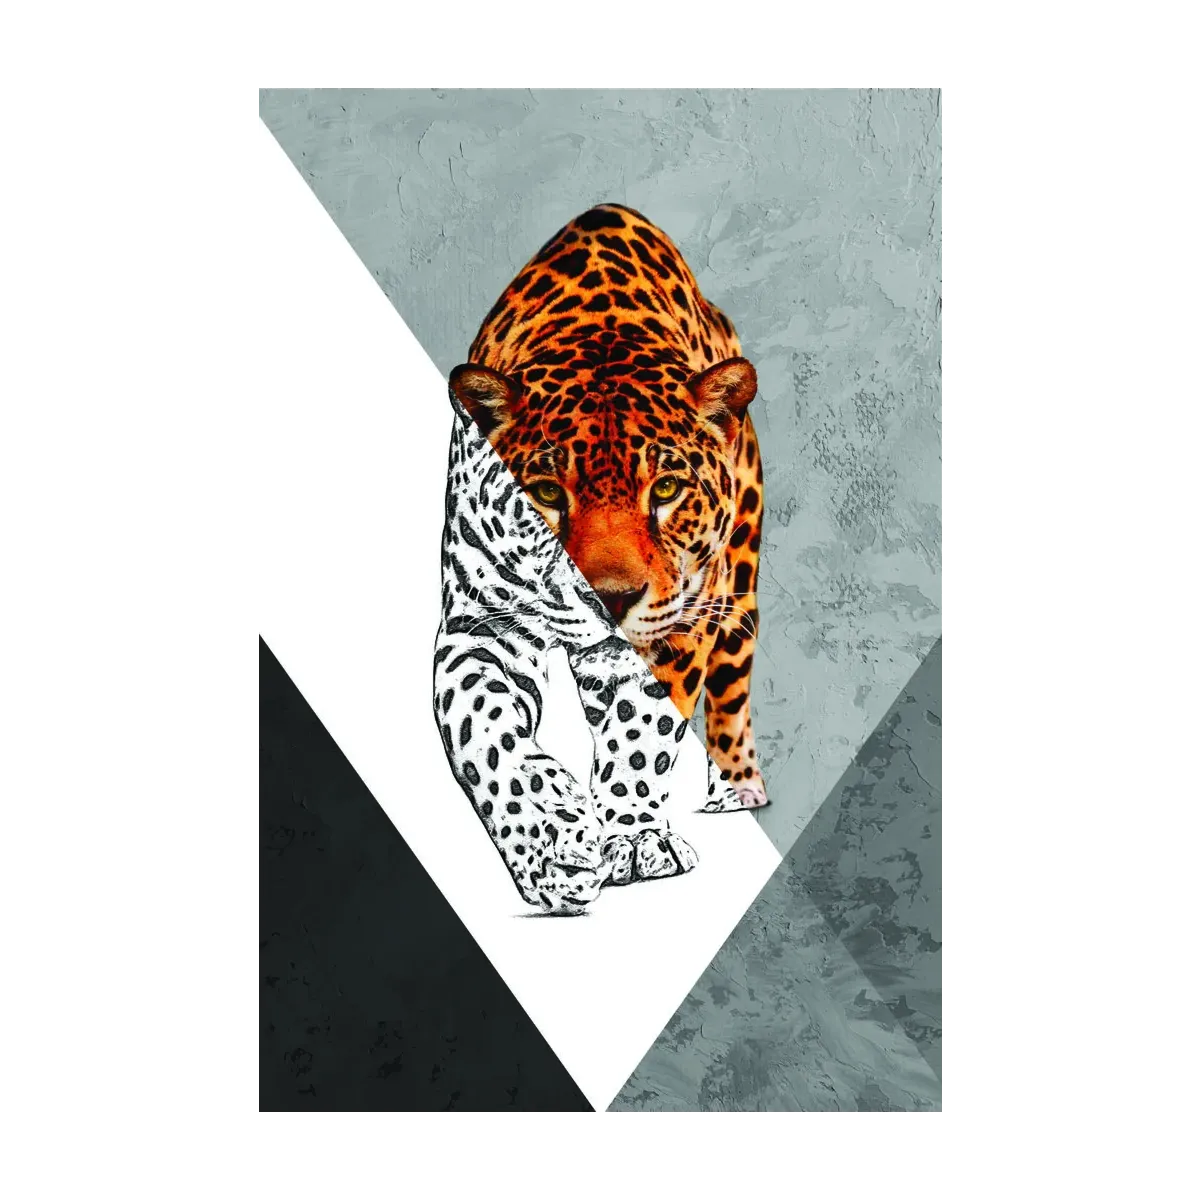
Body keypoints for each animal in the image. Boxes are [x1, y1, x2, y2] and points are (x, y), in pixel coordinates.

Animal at [433, 390, 742, 916]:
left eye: (666, 489)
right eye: (546, 495)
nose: (611, 598)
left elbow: (641, 735)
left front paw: (635, 835)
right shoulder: (480, 625)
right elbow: (486, 730)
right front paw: (548, 845)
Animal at [450, 203, 767, 808]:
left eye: (665, 490)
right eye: (547, 493)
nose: (610, 599)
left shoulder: (682, 625)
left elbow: (646, 732)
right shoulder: (480, 620)